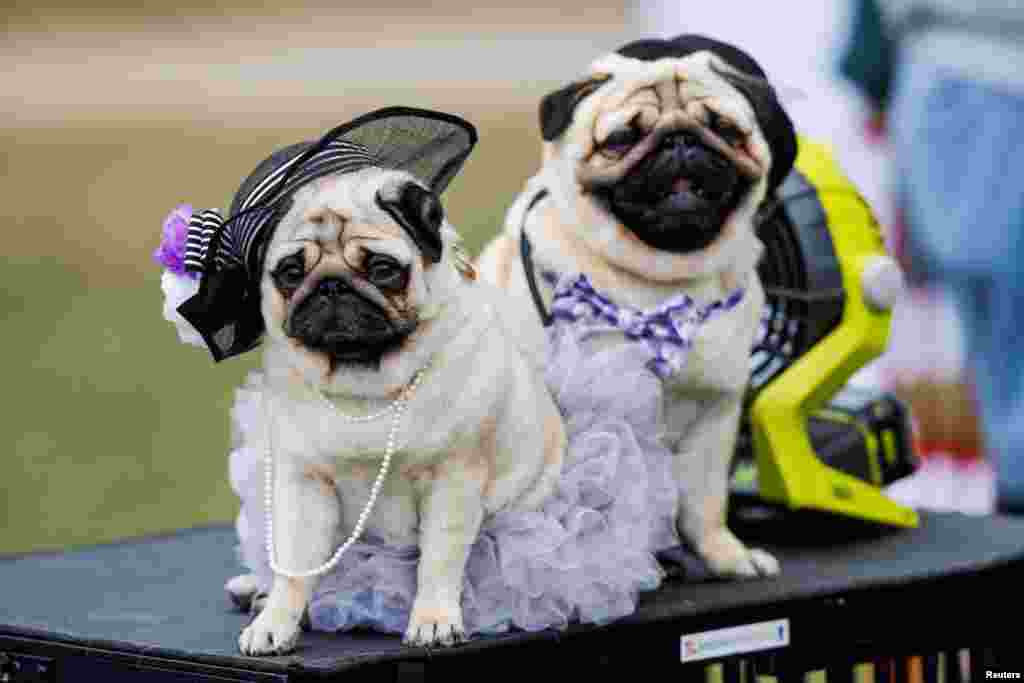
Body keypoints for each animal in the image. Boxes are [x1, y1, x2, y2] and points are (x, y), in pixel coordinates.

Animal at [199, 129, 565, 655]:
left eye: (383, 269)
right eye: (290, 273)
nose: (331, 285)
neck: (367, 384)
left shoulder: (452, 481)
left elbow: (438, 560)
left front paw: (433, 619)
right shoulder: (303, 487)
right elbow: (294, 569)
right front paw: (276, 622)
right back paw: (256, 589)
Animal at [475, 34, 794, 581]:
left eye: (724, 129)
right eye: (624, 137)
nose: (680, 141)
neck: (664, 283)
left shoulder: (716, 418)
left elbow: (706, 502)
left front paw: (726, 555)